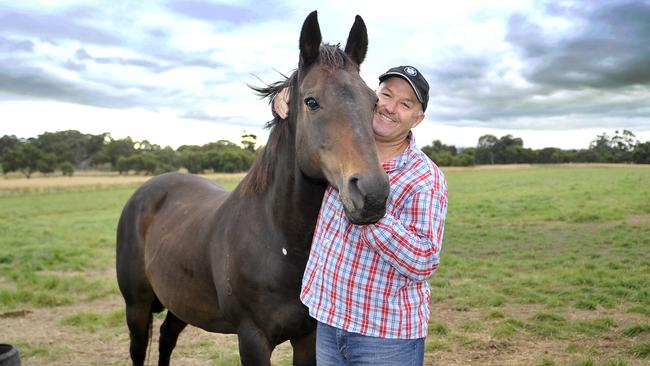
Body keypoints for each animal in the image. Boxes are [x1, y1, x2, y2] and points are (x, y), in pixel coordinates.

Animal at [115, 11, 390, 366]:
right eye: (311, 101)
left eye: (374, 102)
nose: (372, 194)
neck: (280, 239)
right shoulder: (252, 338)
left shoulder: (308, 336)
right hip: (136, 306)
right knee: (140, 348)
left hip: (181, 301)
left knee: (166, 338)